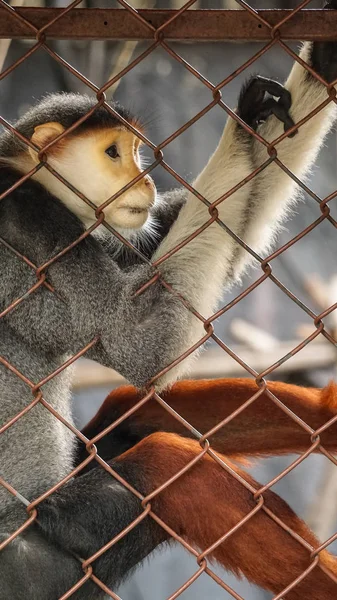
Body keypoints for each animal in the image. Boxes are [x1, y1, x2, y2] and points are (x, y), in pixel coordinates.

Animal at [1, 1, 336, 596]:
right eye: (114, 153)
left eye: (135, 151)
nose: (145, 180)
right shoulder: (32, 224)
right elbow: (143, 344)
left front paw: (306, 74)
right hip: (40, 561)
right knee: (165, 463)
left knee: (130, 415)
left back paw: (327, 414)